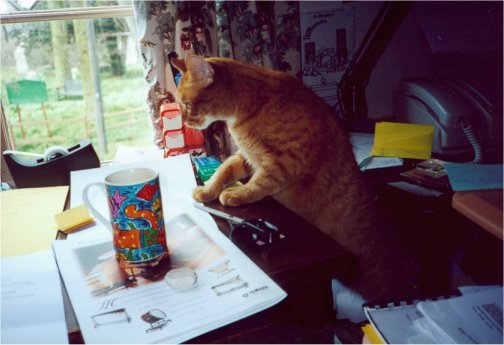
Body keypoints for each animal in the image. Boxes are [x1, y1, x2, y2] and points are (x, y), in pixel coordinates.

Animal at [171, 54, 416, 300]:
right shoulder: (246, 158)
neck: (247, 105)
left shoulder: (284, 162)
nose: (184, 122)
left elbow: (258, 185)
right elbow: (224, 170)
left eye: (187, 104)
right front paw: (207, 190)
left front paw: (236, 194)